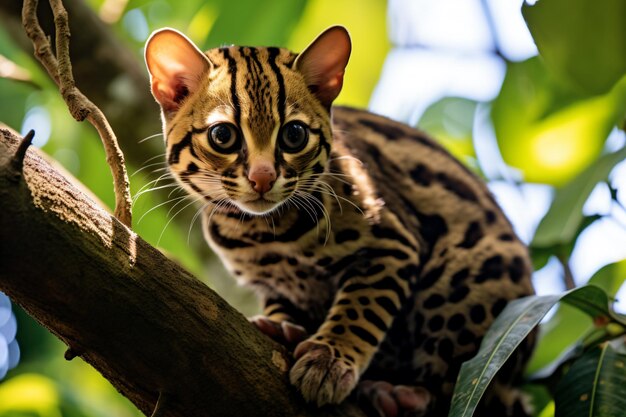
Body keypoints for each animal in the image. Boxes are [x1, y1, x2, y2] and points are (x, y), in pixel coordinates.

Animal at [145, 26, 532, 416]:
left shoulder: (391, 244)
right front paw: (282, 326)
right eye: (222, 135)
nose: (263, 177)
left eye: (294, 135)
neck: (261, 233)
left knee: (454, 383)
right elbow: (283, 306)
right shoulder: (273, 285)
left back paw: (404, 394)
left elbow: (361, 310)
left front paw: (330, 359)